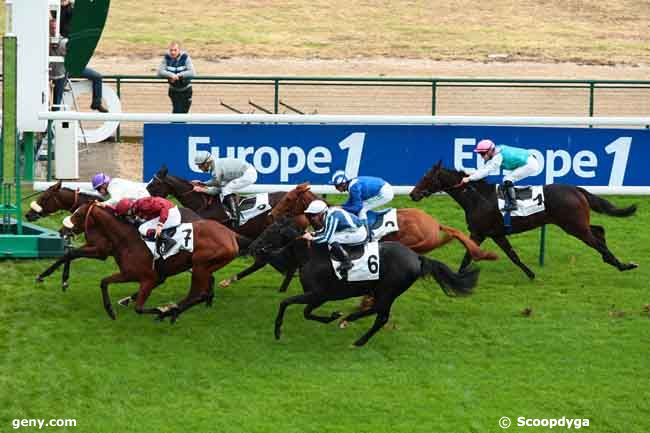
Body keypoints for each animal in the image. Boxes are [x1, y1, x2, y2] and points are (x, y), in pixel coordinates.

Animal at [52, 201, 246, 318]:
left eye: (78, 214)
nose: (62, 230)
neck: (126, 239)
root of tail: (231, 234)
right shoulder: (128, 273)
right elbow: (104, 281)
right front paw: (110, 310)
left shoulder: (148, 278)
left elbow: (138, 308)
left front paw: (160, 310)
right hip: (203, 267)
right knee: (200, 293)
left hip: (200, 266)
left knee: (196, 293)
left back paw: (170, 312)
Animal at [248, 218, 476, 346]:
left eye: (270, 231)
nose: (253, 246)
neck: (311, 254)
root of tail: (417, 257)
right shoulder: (319, 297)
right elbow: (306, 312)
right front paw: (332, 316)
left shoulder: (317, 294)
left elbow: (285, 302)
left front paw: (277, 331)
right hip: (383, 290)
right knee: (377, 311)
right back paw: (348, 318)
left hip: (389, 290)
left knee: (381, 316)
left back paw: (358, 337)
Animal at [408, 160, 636, 278]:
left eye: (426, 177)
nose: (413, 194)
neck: (477, 197)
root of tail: (576, 190)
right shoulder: (496, 234)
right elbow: (512, 255)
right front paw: (530, 273)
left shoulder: (479, 232)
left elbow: (468, 256)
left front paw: (457, 279)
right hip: (577, 223)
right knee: (599, 230)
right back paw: (614, 261)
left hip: (574, 226)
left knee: (596, 240)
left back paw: (622, 264)